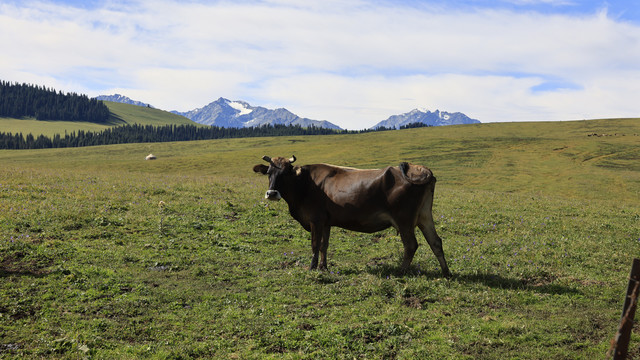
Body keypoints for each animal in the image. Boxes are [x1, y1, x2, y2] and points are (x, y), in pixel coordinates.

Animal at [252, 155, 452, 278]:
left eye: (286, 172)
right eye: (269, 172)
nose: (271, 193)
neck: (305, 184)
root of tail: (420, 169)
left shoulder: (315, 219)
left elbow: (315, 245)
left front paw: (312, 268)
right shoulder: (326, 222)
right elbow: (324, 245)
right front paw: (324, 267)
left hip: (404, 220)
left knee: (411, 245)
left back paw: (400, 271)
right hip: (425, 216)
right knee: (435, 241)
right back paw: (446, 273)